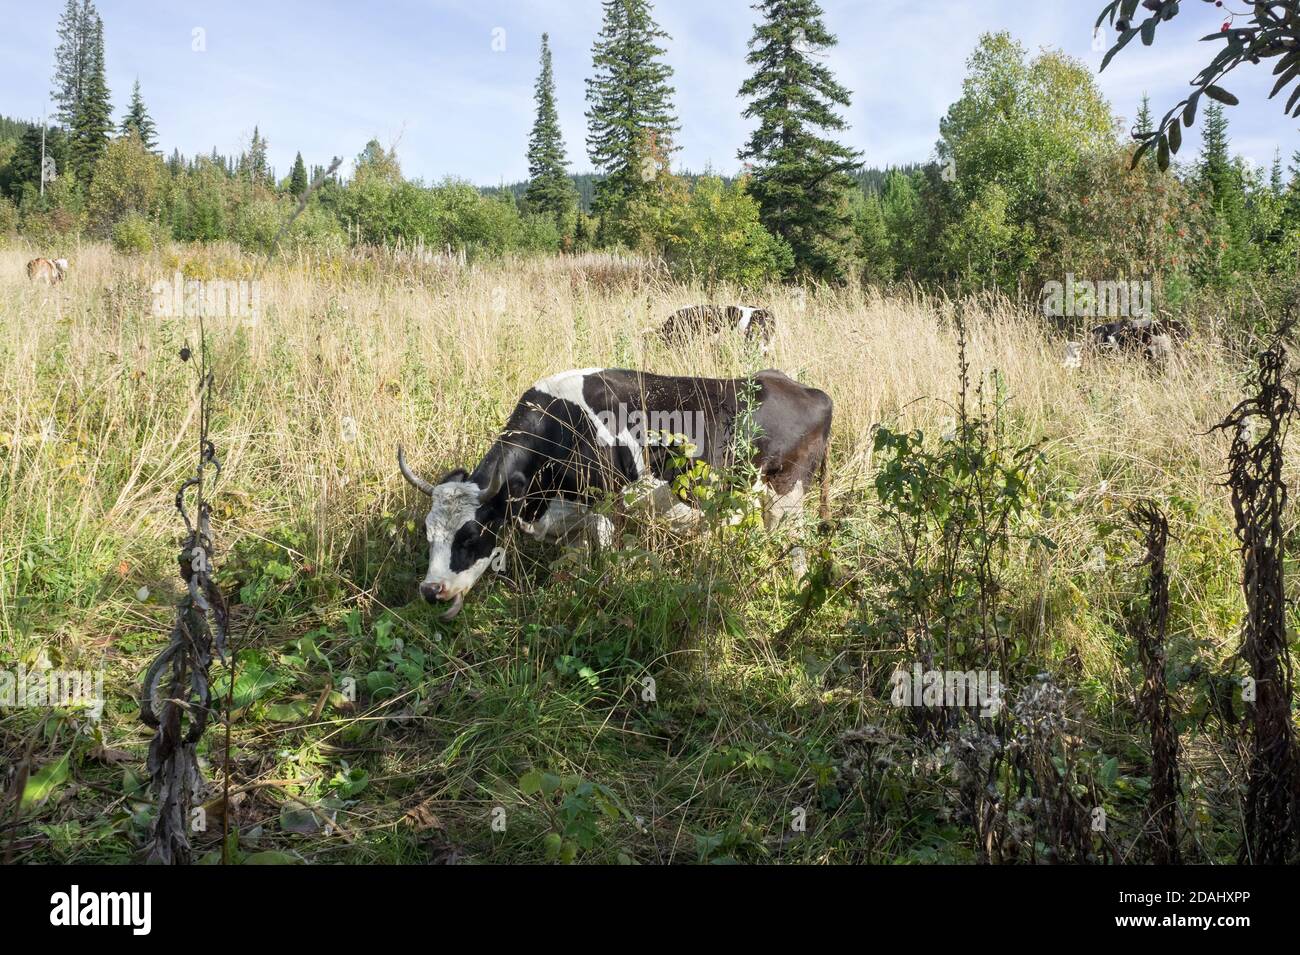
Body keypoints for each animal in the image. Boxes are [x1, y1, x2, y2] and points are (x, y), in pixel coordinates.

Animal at [398, 367, 832, 619]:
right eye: (428, 534)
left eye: (471, 536)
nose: (430, 590)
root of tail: (809, 390)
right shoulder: (572, 513)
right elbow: (569, 566)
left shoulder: (607, 505)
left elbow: (604, 564)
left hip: (786, 493)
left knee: (795, 548)